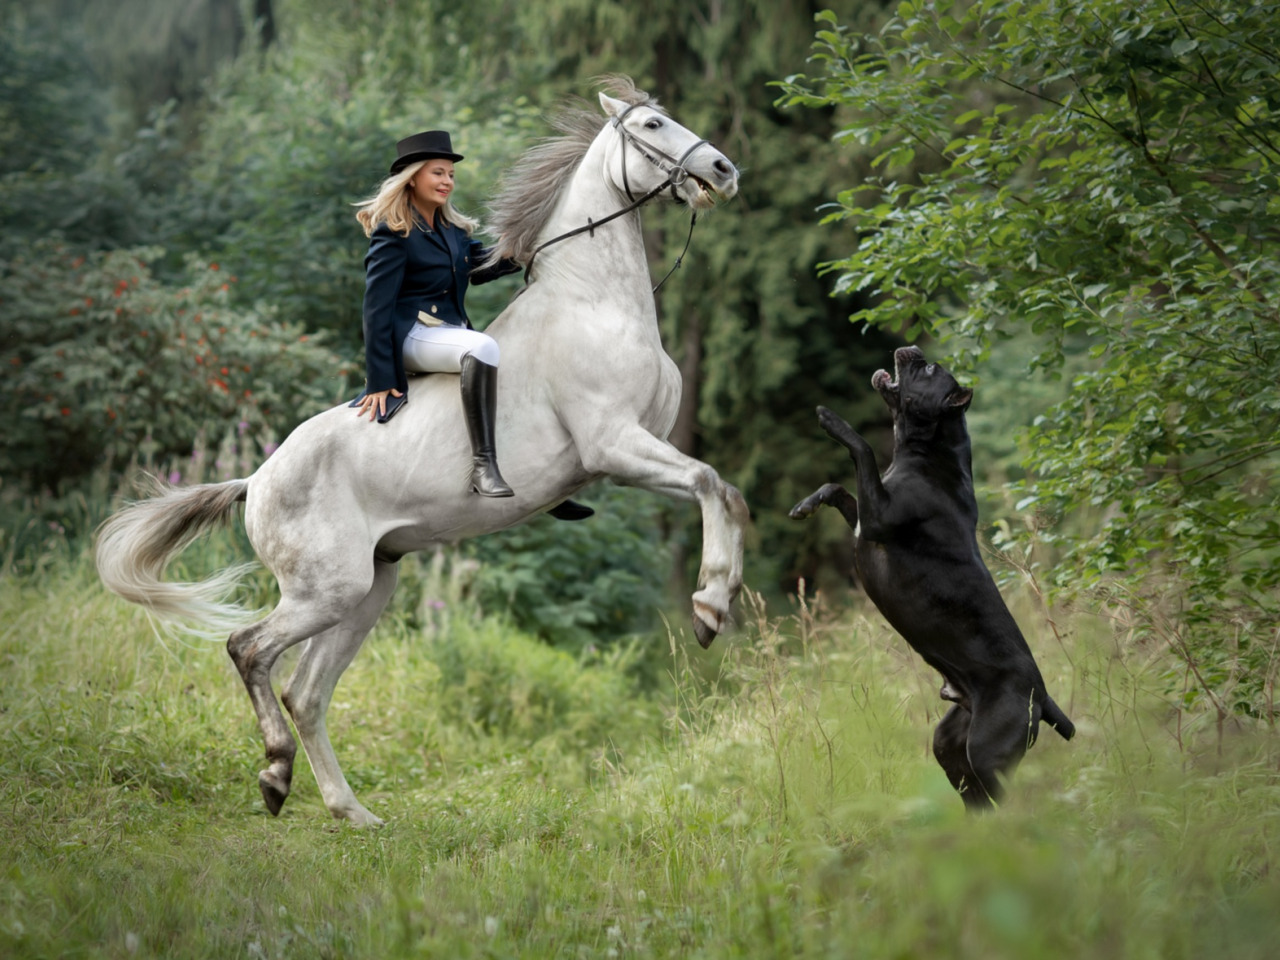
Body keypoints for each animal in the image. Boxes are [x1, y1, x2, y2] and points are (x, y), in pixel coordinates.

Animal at [94, 77, 747, 829]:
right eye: (651, 126)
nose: (724, 171)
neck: (592, 303)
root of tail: (256, 478)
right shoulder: (616, 446)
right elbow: (712, 483)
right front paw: (709, 608)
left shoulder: (637, 455)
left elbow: (722, 491)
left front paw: (717, 604)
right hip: (328, 590)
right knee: (250, 651)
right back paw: (275, 775)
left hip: (367, 589)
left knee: (306, 692)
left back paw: (352, 813)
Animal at [788, 348, 1070, 814]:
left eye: (930, 370)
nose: (914, 351)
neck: (928, 451)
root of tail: (1043, 697)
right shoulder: (866, 520)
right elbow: (839, 488)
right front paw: (807, 504)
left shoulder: (878, 518)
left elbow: (862, 448)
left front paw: (831, 420)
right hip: (950, 743)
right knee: (974, 796)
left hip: (988, 751)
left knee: (1008, 799)